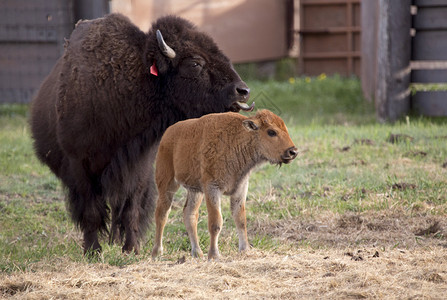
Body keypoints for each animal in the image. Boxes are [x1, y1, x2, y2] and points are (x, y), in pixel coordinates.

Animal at [30, 12, 256, 254]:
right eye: (195, 63)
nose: (242, 91)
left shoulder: (138, 165)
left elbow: (131, 208)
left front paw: (131, 248)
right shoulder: (80, 166)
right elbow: (91, 211)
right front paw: (93, 251)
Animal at [152, 109, 300, 258]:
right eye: (271, 132)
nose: (293, 151)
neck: (238, 138)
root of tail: (167, 134)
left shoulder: (240, 188)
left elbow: (240, 220)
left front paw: (245, 249)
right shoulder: (212, 188)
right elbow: (216, 222)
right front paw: (214, 255)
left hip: (195, 190)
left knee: (189, 215)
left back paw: (197, 252)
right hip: (167, 183)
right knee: (162, 213)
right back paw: (157, 252)